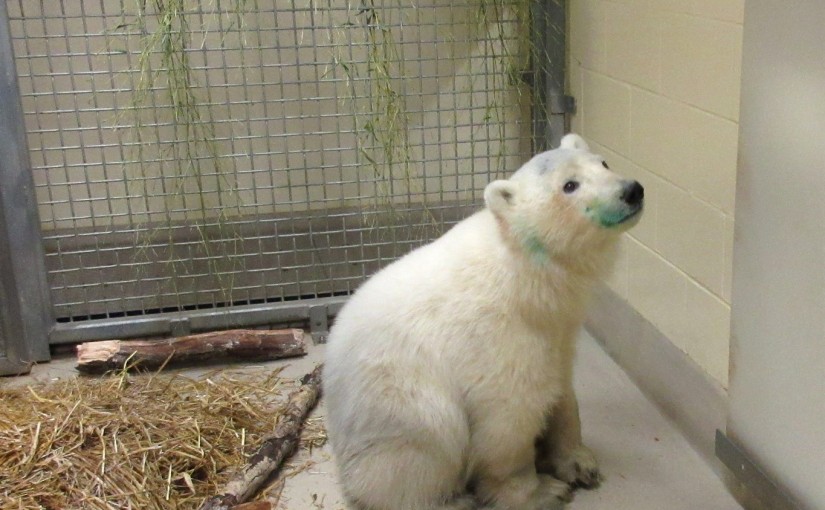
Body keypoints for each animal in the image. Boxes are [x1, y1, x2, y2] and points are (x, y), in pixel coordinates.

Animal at [323, 133, 644, 510]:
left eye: (603, 162)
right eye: (569, 185)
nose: (632, 190)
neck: (528, 275)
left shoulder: (558, 327)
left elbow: (562, 388)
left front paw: (579, 461)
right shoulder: (497, 335)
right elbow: (509, 417)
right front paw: (542, 491)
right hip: (397, 405)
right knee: (423, 449)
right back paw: (453, 500)